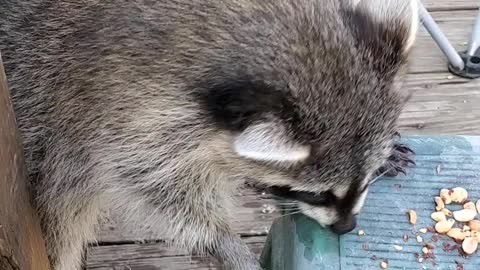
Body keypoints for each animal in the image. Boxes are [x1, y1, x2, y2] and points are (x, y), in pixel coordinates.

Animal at [0, 0, 416, 268]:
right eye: (317, 194)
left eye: (365, 181)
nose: (346, 228)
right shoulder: (99, 114)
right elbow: (152, 182)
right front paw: (219, 238)